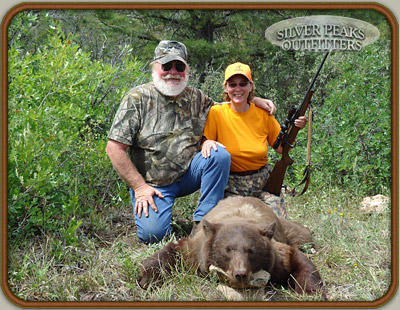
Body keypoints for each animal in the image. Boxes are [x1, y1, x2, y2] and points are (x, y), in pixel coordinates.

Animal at [139, 196, 324, 296]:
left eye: (252, 251)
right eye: (228, 249)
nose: (240, 273)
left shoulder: (274, 257)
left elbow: (295, 259)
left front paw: (312, 291)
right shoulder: (197, 252)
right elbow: (174, 251)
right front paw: (145, 277)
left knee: (303, 236)